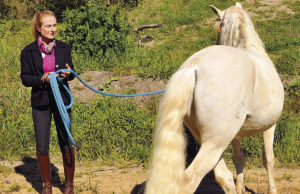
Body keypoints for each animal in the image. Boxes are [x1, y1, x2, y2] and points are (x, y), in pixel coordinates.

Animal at [145, 2, 284, 194]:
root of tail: (192, 68)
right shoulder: (270, 126)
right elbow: (268, 159)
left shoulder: (235, 135)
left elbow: (239, 159)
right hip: (215, 143)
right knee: (190, 179)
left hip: (211, 141)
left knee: (223, 177)